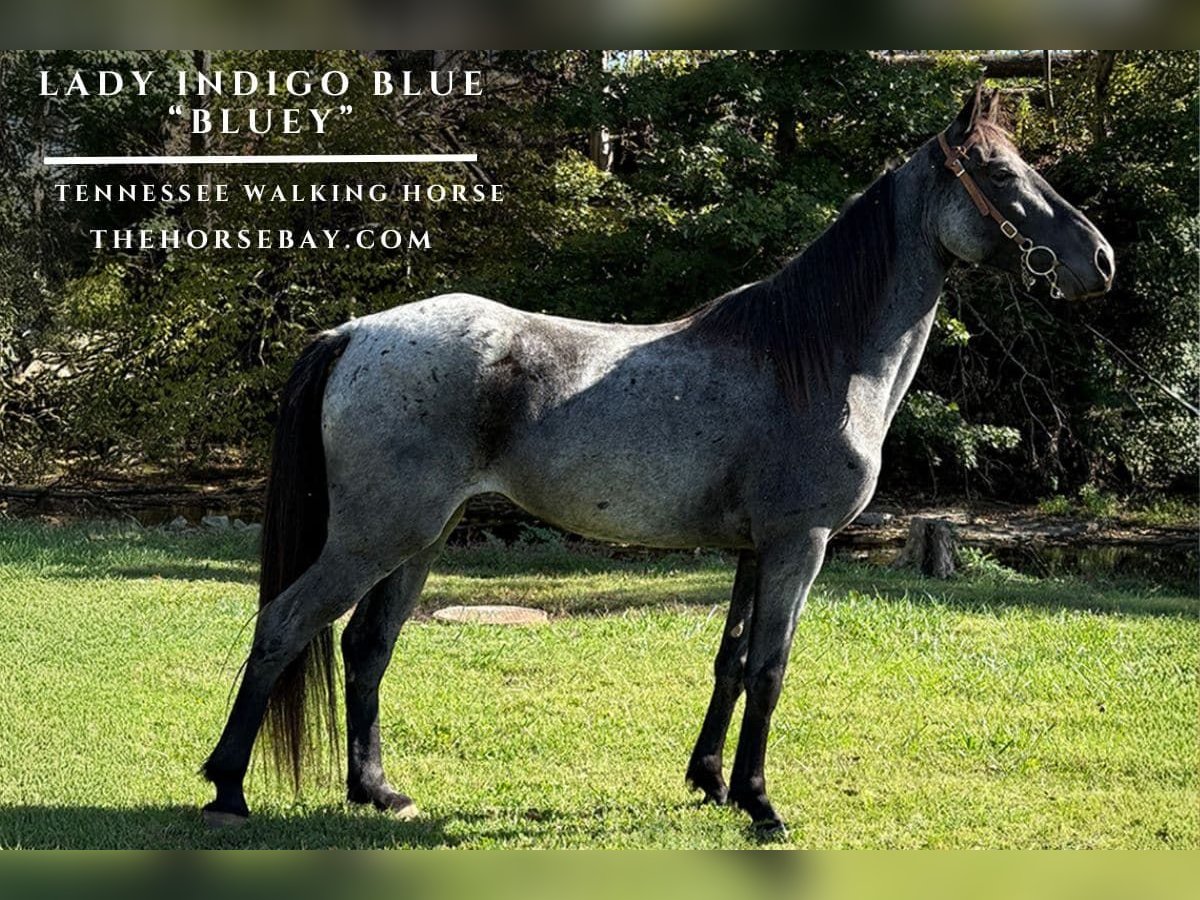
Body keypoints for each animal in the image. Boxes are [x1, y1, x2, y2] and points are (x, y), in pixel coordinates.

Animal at [200, 86, 1114, 837]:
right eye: (996, 171)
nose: (1098, 260)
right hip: (375, 538)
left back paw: (377, 792)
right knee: (285, 625)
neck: (816, 358)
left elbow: (732, 662)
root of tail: (356, 331)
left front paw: (711, 782)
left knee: (367, 647)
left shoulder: (755, 551)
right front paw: (761, 804)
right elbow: (772, 669)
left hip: (418, 540)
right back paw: (228, 789)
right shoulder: (800, 545)